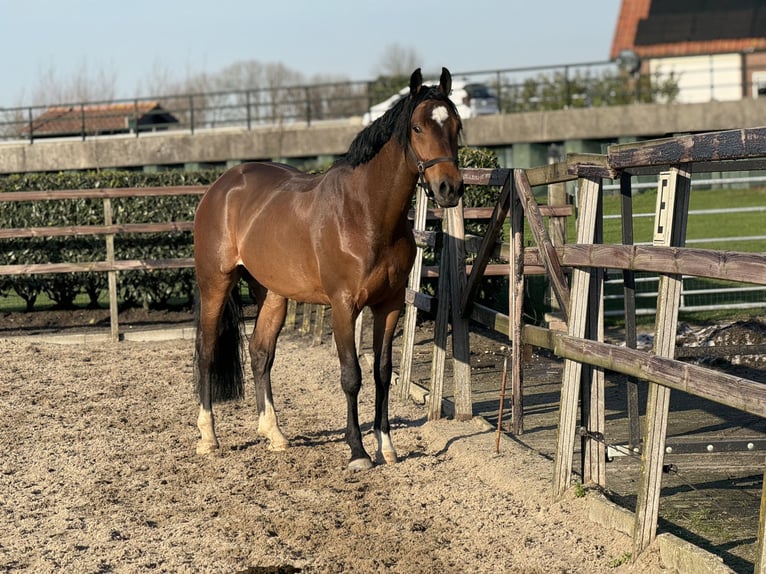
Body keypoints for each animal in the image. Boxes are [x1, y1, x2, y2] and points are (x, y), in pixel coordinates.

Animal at [192, 67, 464, 470]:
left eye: (456, 126)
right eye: (417, 128)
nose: (449, 188)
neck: (365, 212)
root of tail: (222, 187)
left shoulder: (390, 305)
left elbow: (382, 373)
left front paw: (386, 445)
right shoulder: (343, 306)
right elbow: (351, 375)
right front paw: (358, 451)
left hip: (272, 293)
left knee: (260, 353)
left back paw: (274, 434)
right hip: (216, 283)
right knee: (207, 351)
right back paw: (209, 438)